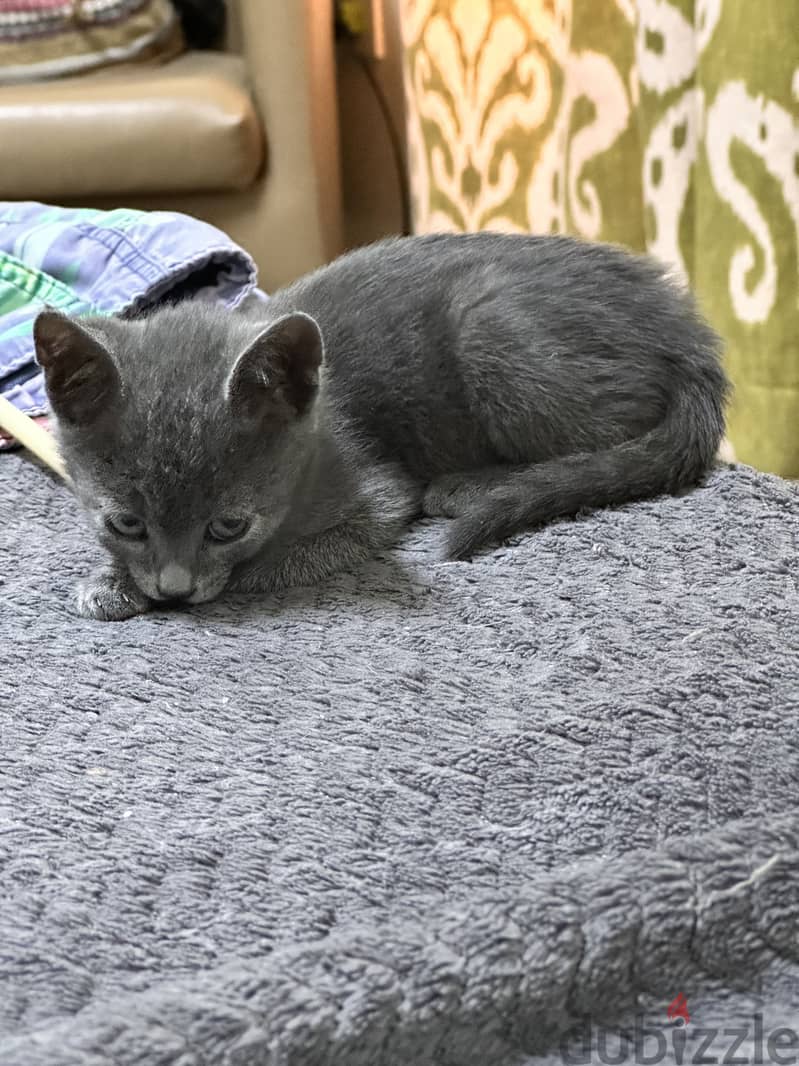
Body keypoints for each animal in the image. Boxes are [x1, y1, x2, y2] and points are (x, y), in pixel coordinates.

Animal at [34, 231, 728, 618]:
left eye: (228, 528)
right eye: (125, 524)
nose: (174, 591)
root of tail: (686, 331)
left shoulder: (377, 490)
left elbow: (305, 551)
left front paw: (239, 576)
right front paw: (112, 580)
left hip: (490, 328)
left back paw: (475, 485)